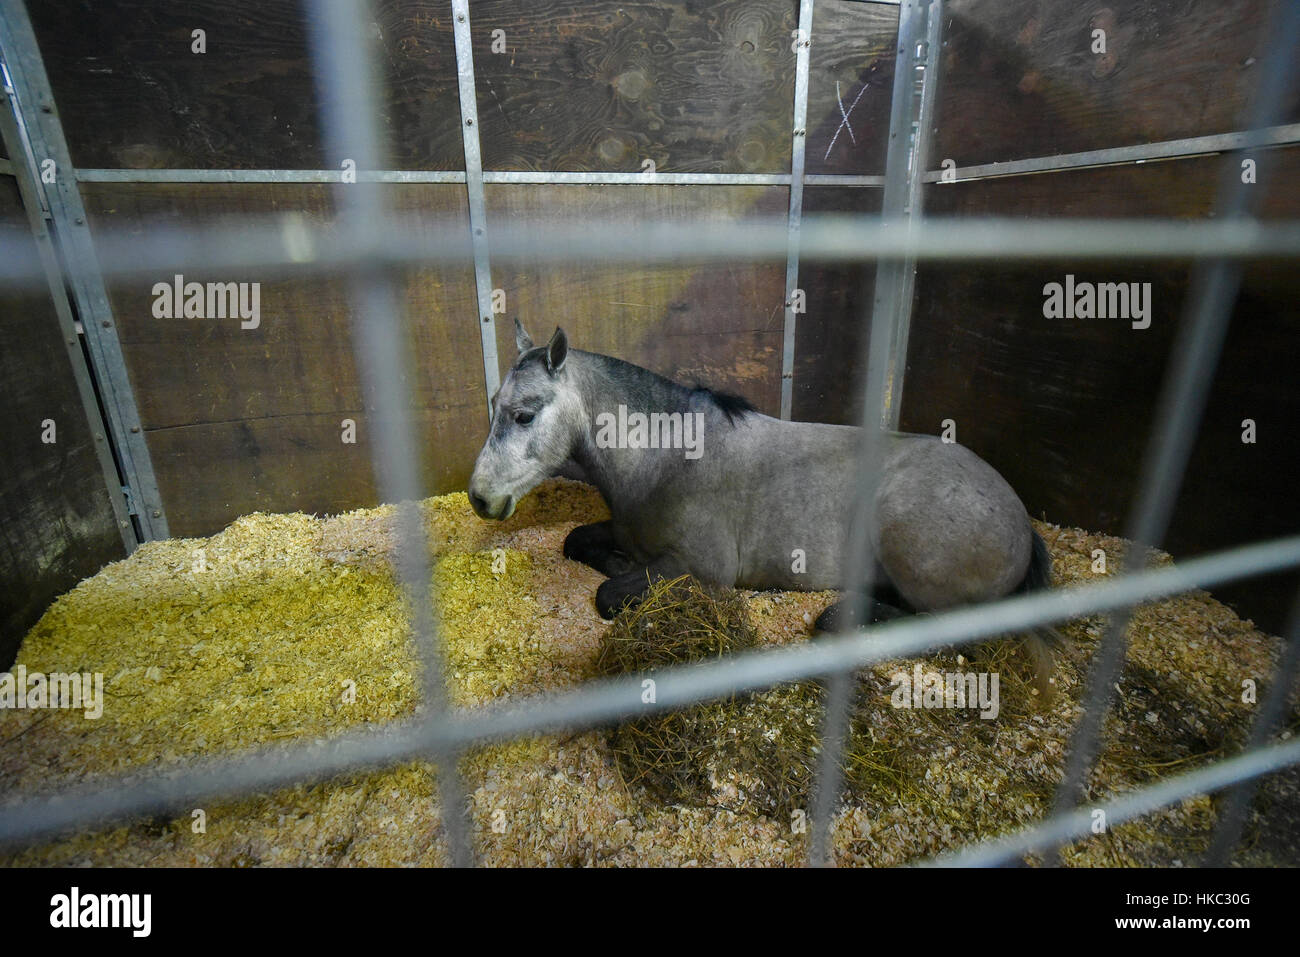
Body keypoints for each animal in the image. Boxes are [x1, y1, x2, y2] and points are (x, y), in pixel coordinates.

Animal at [468, 320, 1061, 684]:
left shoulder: (704, 568)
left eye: (524, 414)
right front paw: (614, 560)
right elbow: (578, 542)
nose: (480, 498)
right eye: (494, 405)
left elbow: (610, 596)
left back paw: (841, 617)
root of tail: (1022, 522)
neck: (667, 458)